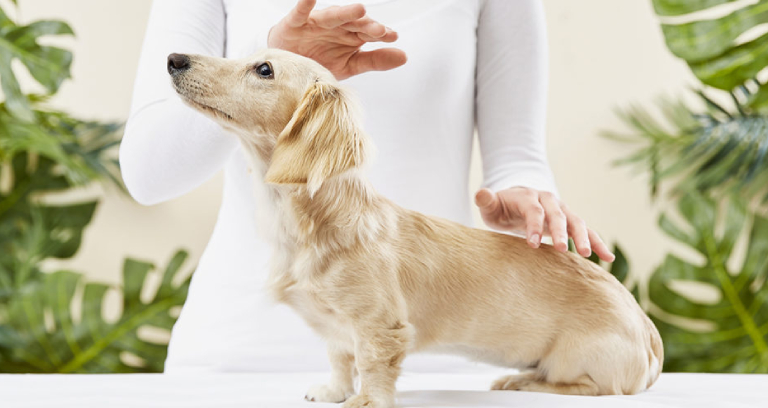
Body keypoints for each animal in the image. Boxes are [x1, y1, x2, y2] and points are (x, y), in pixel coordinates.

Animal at [168, 49, 660, 406]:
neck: (310, 223)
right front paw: (333, 391)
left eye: (264, 69)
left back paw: (522, 382)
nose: (174, 58)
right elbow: (339, 357)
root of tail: (646, 329)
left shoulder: (379, 324)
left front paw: (365, 400)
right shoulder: (337, 329)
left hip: (578, 361)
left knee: (594, 387)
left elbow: (371, 364)